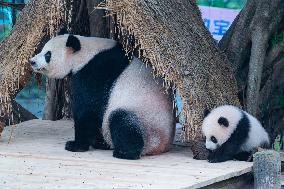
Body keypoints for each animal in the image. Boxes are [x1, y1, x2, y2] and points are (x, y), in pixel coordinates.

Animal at [29, 33, 175, 159]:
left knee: (122, 122)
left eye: (48, 54)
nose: (32, 61)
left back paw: (124, 153)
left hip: (147, 120)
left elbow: (87, 110)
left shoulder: (95, 73)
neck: (86, 54)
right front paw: (99, 143)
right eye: (42, 49)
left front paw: (75, 145)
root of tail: (163, 146)